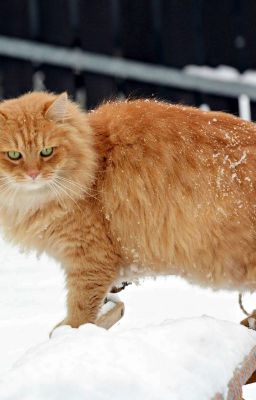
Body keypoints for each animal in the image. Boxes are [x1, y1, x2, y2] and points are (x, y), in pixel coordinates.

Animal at [0, 91, 256, 332]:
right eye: (13, 155)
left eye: (47, 152)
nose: (33, 174)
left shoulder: (90, 259)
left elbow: (80, 310)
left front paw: (69, 335)